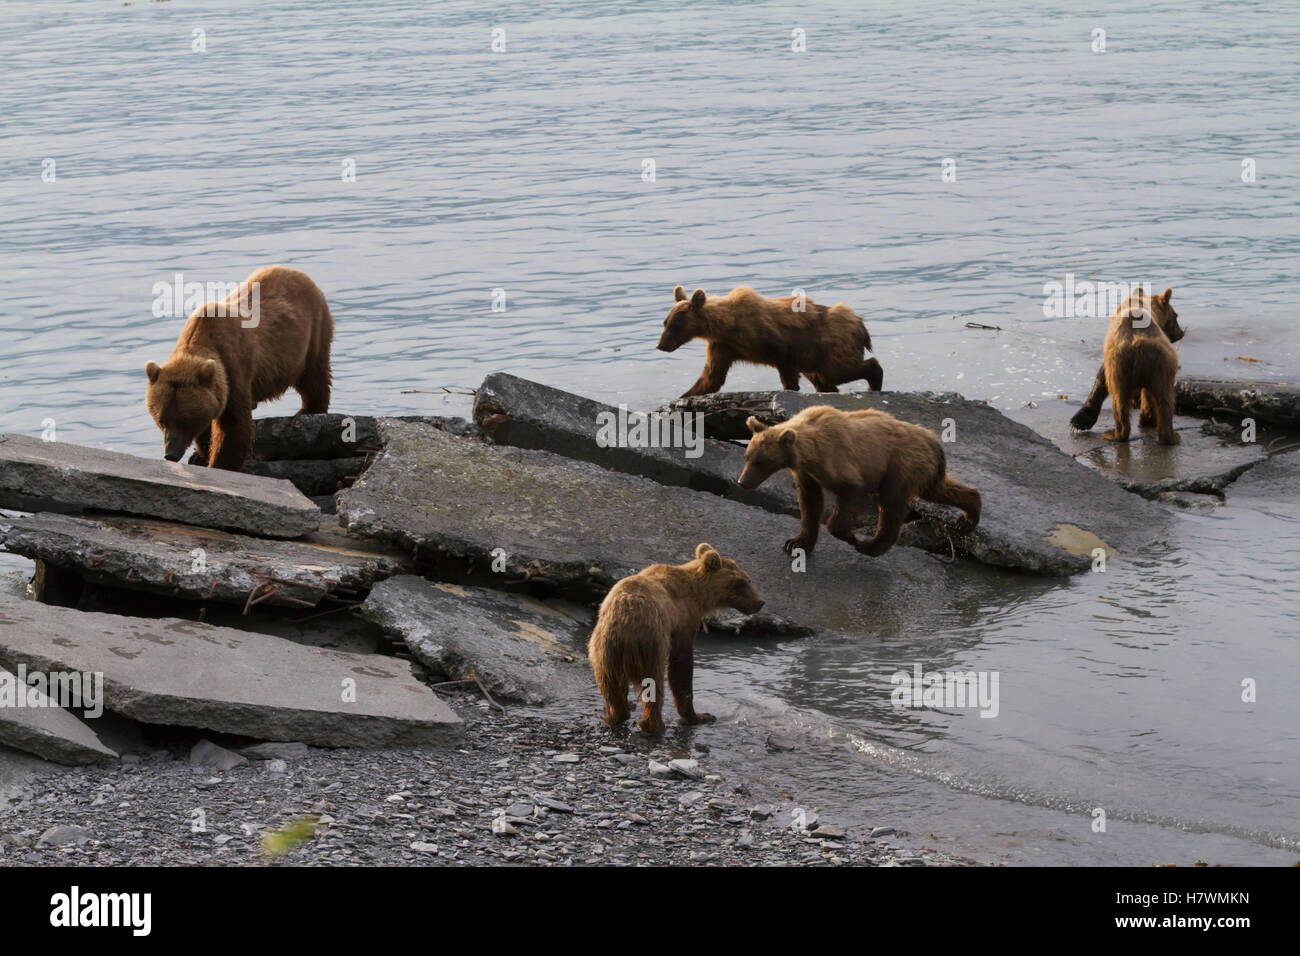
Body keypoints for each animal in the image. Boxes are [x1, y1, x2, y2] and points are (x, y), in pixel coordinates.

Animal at [143, 265, 335, 470]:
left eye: (185, 420)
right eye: (161, 420)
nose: (170, 454)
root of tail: (296, 272)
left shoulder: (234, 368)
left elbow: (234, 426)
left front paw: (218, 462)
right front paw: (201, 454)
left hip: (313, 332)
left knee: (314, 376)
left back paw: (308, 410)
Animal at [587, 541, 759, 738]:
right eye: (743, 582)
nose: (760, 602)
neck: (699, 593)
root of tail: (623, 622)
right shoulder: (683, 618)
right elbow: (681, 663)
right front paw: (700, 716)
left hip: (601, 653)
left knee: (610, 688)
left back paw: (616, 715)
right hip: (649, 645)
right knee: (654, 684)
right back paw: (655, 726)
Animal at [660, 287, 883, 400]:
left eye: (674, 325)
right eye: (665, 322)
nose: (660, 345)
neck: (726, 326)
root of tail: (860, 323)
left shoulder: (771, 341)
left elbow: (785, 366)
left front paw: (790, 388)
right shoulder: (723, 346)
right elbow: (711, 377)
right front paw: (683, 396)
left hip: (832, 345)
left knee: (840, 370)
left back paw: (874, 383)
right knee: (826, 380)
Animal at [738, 405, 977, 556]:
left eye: (761, 461)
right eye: (747, 457)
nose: (742, 482)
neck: (809, 453)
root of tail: (932, 440)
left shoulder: (837, 460)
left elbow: (850, 492)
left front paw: (850, 536)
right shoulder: (806, 473)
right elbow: (810, 503)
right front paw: (796, 542)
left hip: (900, 465)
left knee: (891, 505)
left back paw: (871, 546)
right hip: (922, 470)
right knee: (939, 489)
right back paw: (968, 518)